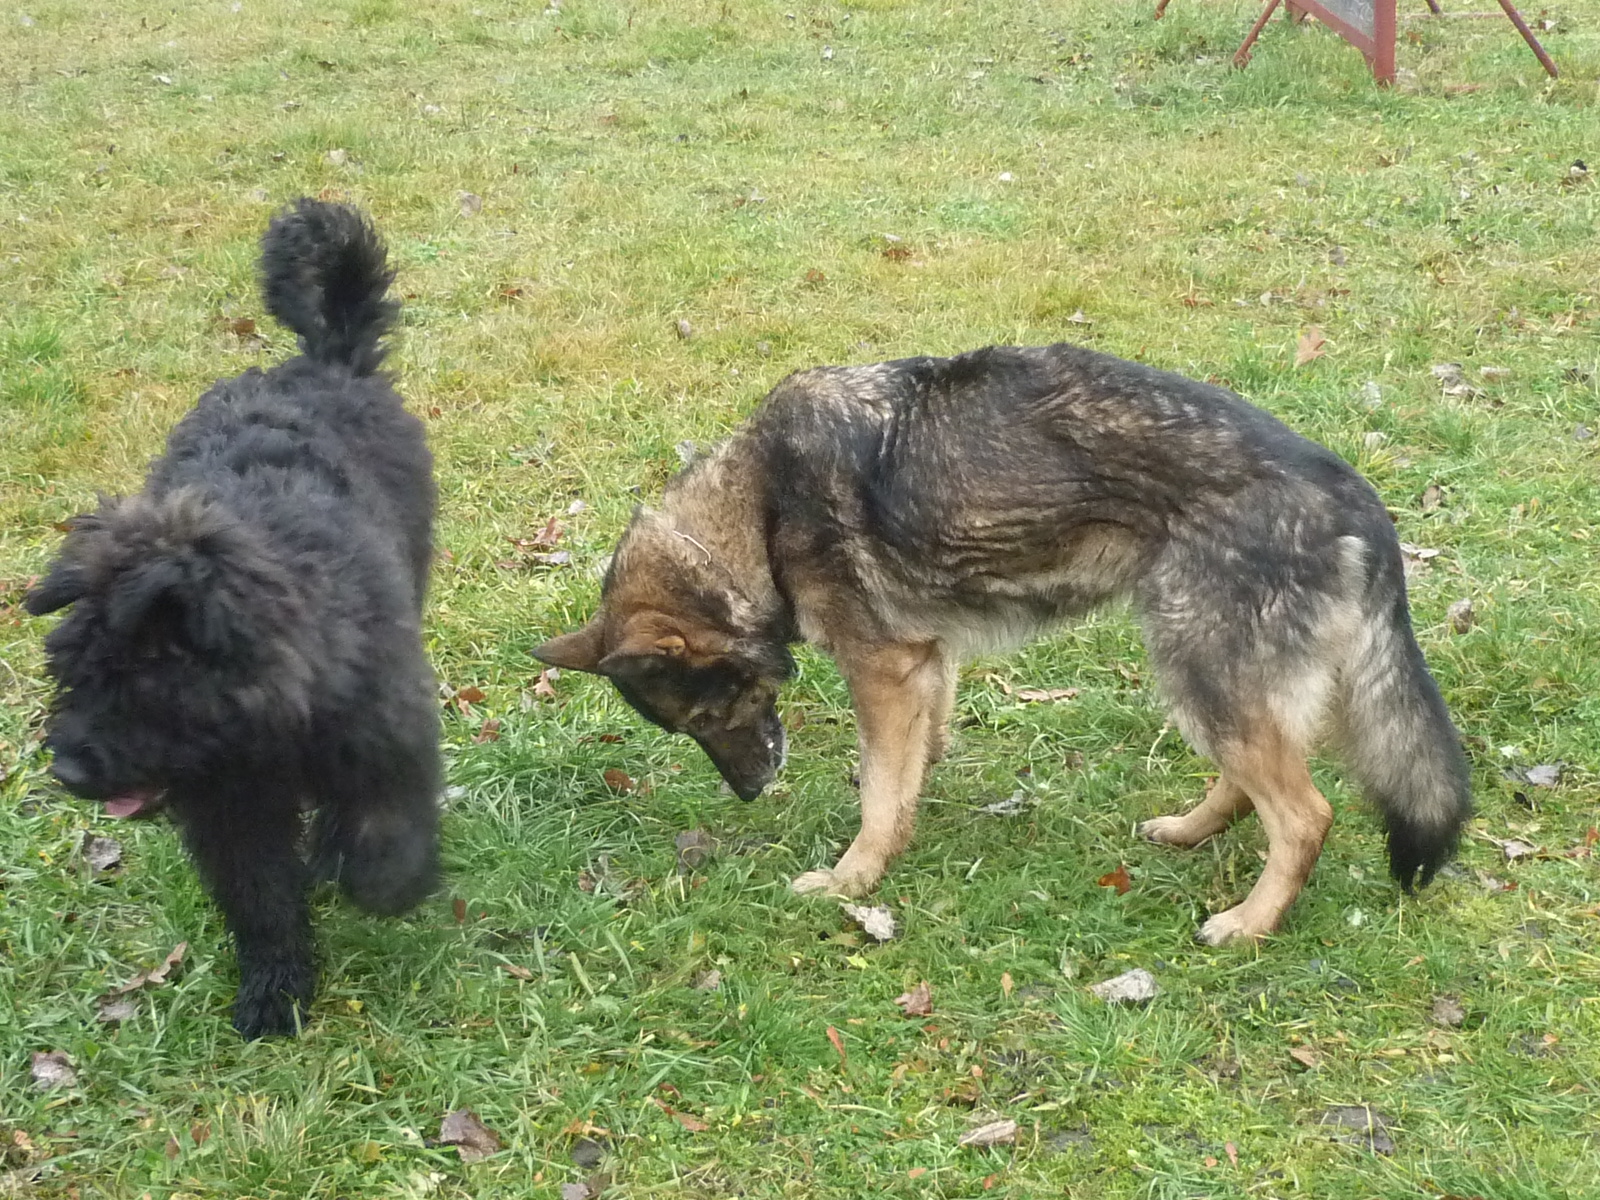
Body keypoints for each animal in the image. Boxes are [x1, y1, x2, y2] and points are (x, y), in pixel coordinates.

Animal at [26, 199, 441, 1036]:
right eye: (72, 672)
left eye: (145, 680)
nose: (68, 770)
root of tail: (323, 361)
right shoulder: (231, 812)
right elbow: (261, 901)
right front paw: (275, 991)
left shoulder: (391, 740)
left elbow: (387, 834)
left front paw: (379, 883)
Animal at [535, 342, 1473, 944]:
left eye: (707, 715)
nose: (751, 792)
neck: (755, 508)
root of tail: (1356, 500)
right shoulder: (925, 662)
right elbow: (908, 765)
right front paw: (902, 816)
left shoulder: (882, 668)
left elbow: (881, 791)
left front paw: (853, 879)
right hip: (1208, 678)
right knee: (1255, 786)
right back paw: (1190, 831)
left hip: (1197, 668)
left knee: (1305, 815)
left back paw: (1249, 923)